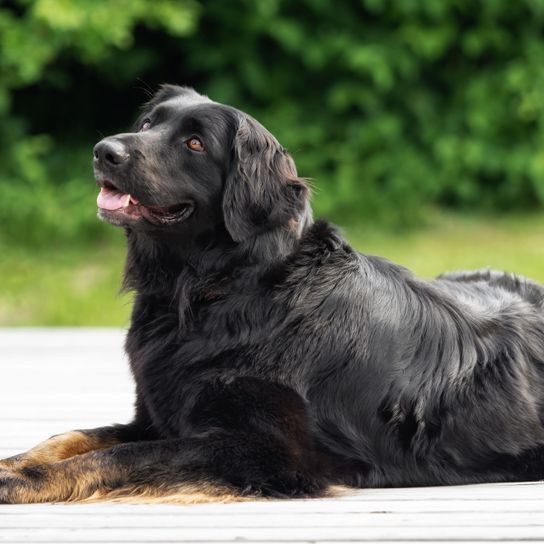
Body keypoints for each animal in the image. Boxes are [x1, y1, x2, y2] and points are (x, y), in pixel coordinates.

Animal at [1, 85, 544, 506]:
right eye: (148, 123)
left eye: (194, 143)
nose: (104, 150)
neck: (219, 292)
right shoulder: (158, 415)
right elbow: (74, 436)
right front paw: (17, 462)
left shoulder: (265, 449)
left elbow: (122, 454)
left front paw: (29, 479)